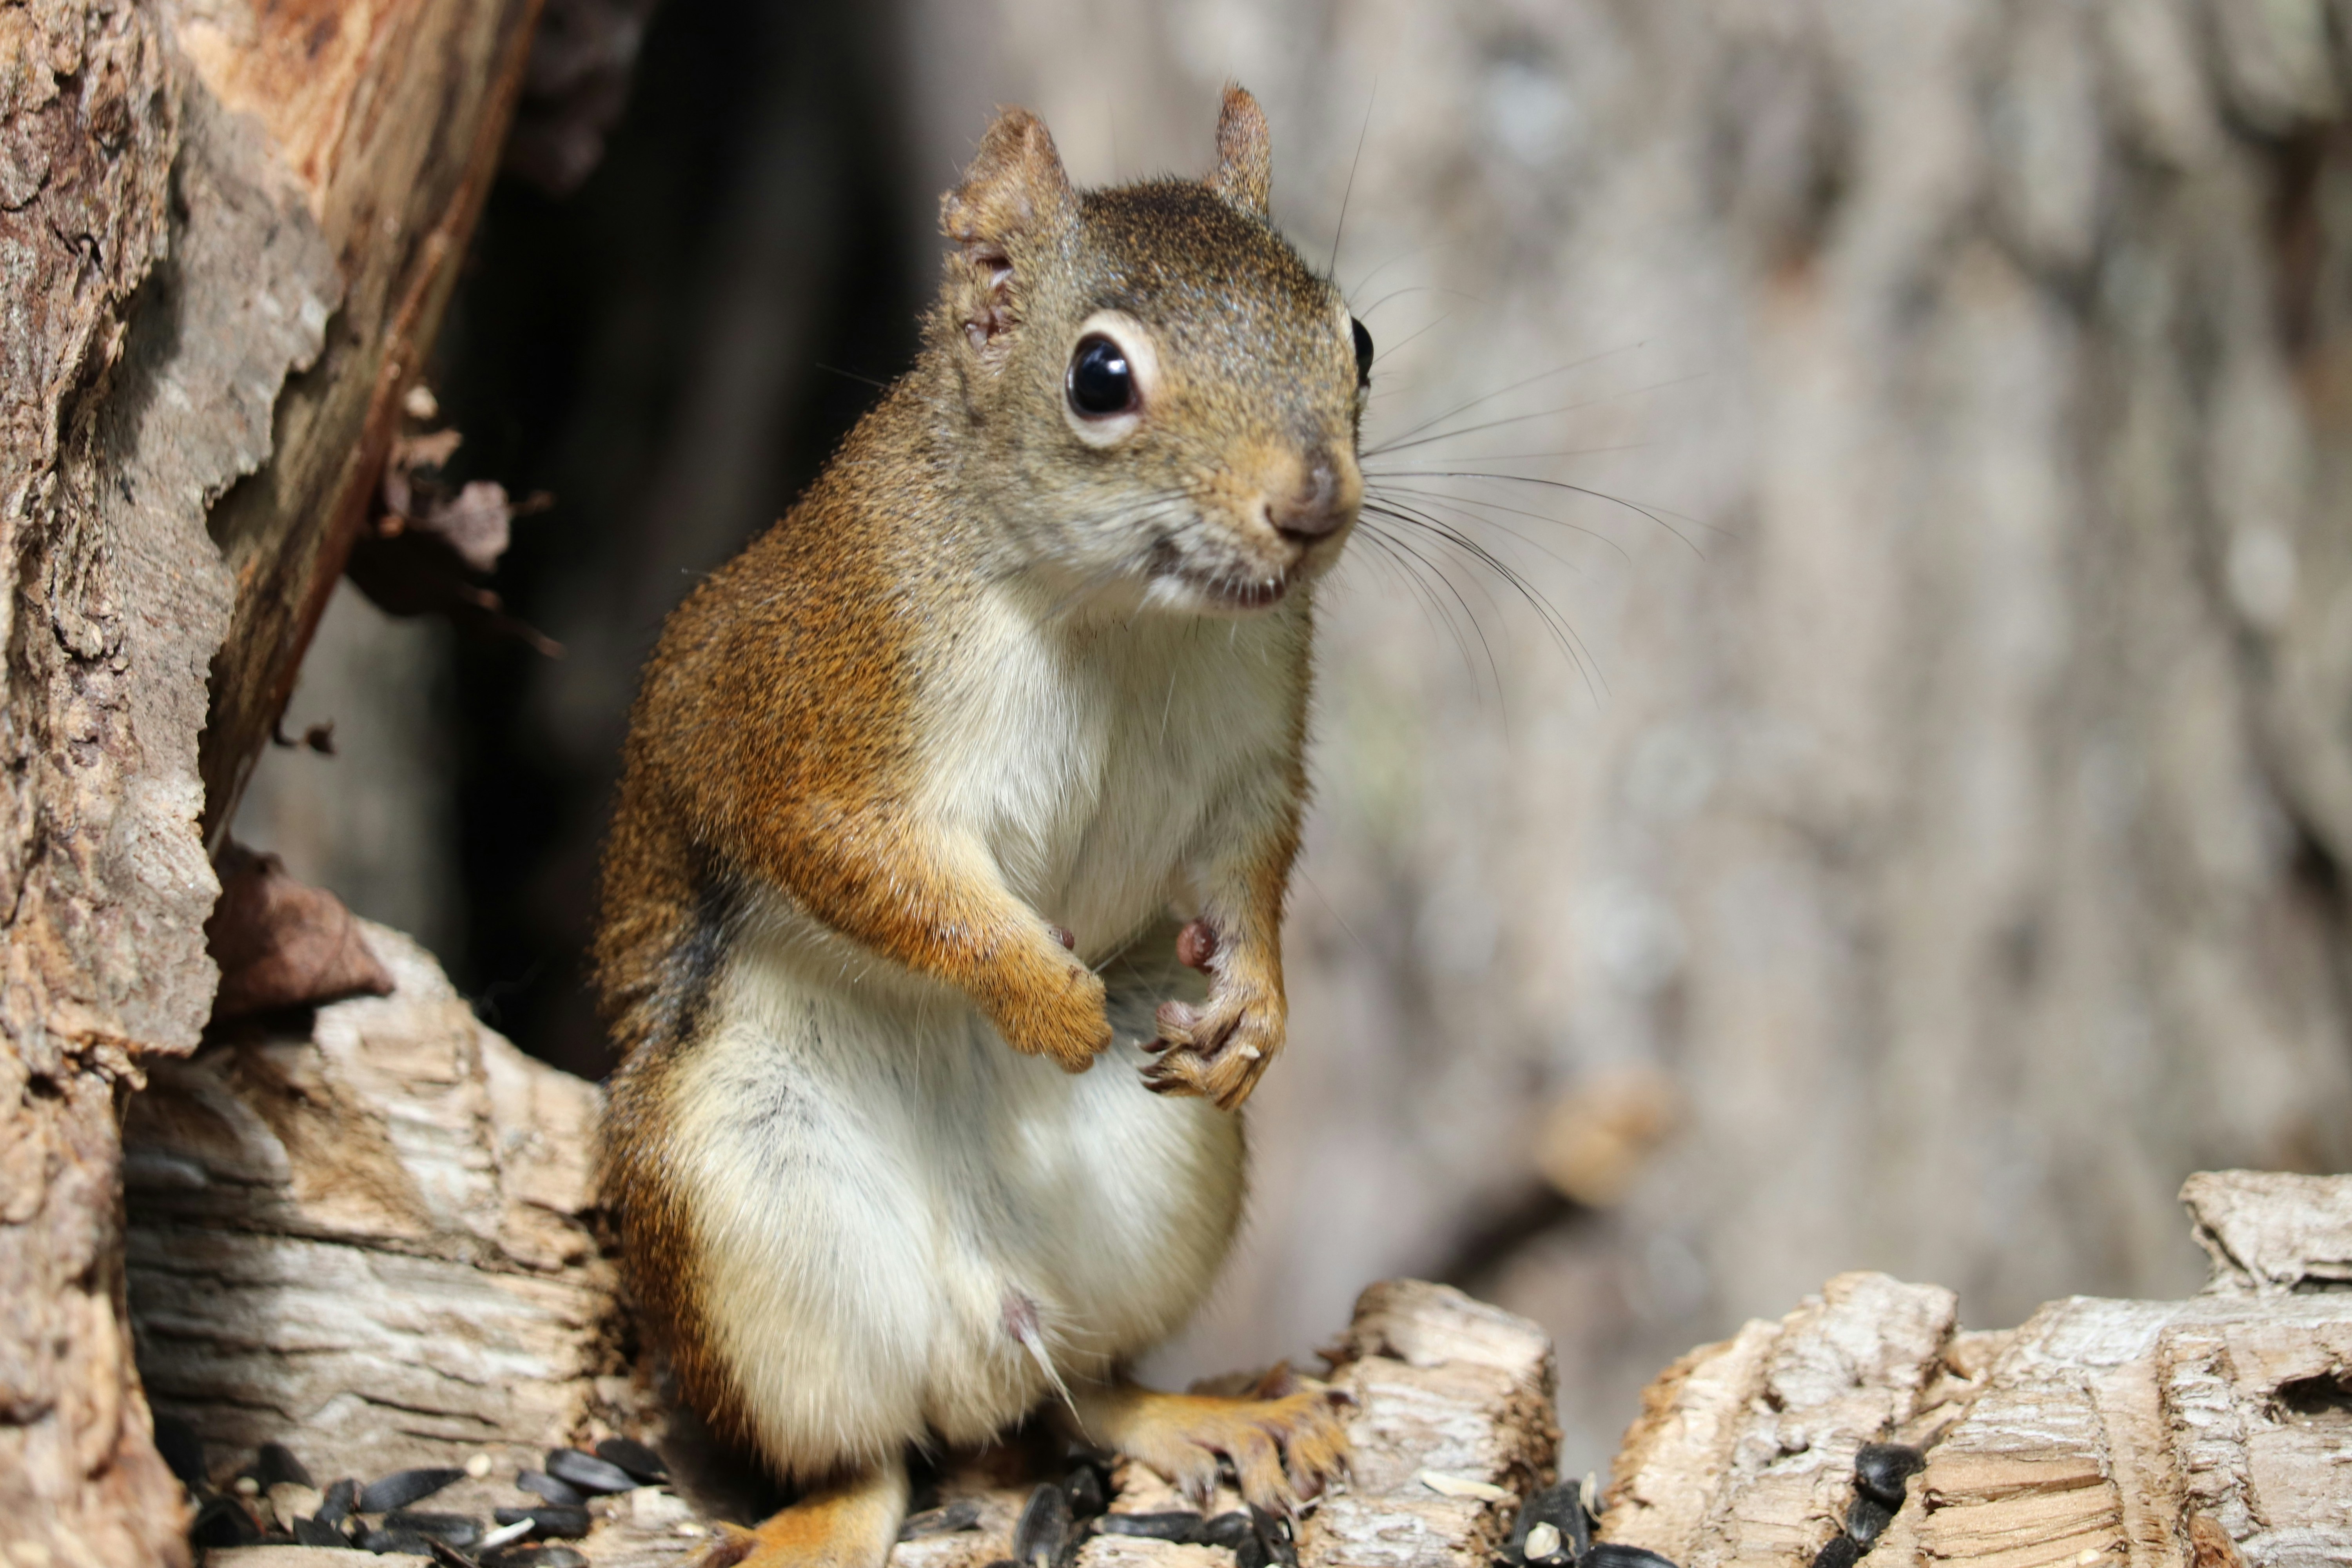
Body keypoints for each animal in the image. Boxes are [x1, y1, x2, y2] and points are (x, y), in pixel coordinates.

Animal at [594, 85, 1373, 1567]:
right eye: (1099, 378)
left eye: (1355, 340)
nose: (1313, 507)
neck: (1115, 619)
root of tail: (979, 1323)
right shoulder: (824, 721)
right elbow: (869, 868)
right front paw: (1041, 996)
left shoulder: (1253, 736)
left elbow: (1250, 863)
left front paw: (1260, 1010)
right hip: (743, 1210)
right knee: (858, 1454)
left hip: (1159, 1185)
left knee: (1084, 1391)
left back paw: (1206, 1417)